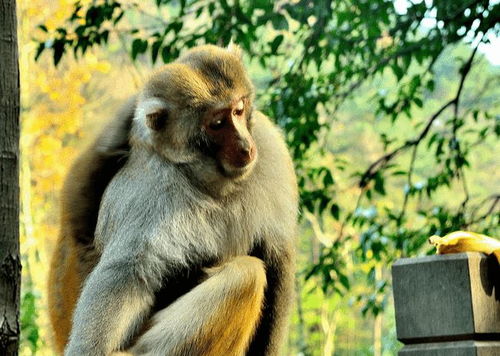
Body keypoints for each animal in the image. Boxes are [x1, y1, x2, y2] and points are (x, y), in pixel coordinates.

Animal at [58, 44, 296, 356]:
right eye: (217, 124)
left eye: (239, 110)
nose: (245, 146)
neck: (214, 183)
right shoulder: (148, 189)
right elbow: (127, 274)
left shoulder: (269, 148)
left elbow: (277, 254)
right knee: (246, 276)